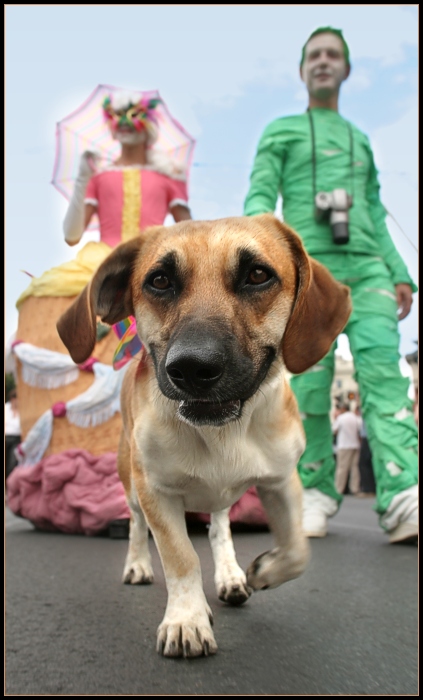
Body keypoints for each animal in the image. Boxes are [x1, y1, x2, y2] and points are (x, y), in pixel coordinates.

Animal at [58, 213, 352, 656]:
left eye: (257, 275)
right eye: (160, 280)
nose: (193, 367)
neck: (224, 433)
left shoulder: (281, 480)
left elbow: (298, 549)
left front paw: (264, 571)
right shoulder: (156, 492)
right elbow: (182, 558)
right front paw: (187, 619)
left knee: (219, 529)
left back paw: (230, 573)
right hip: (131, 485)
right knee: (135, 526)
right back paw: (138, 564)